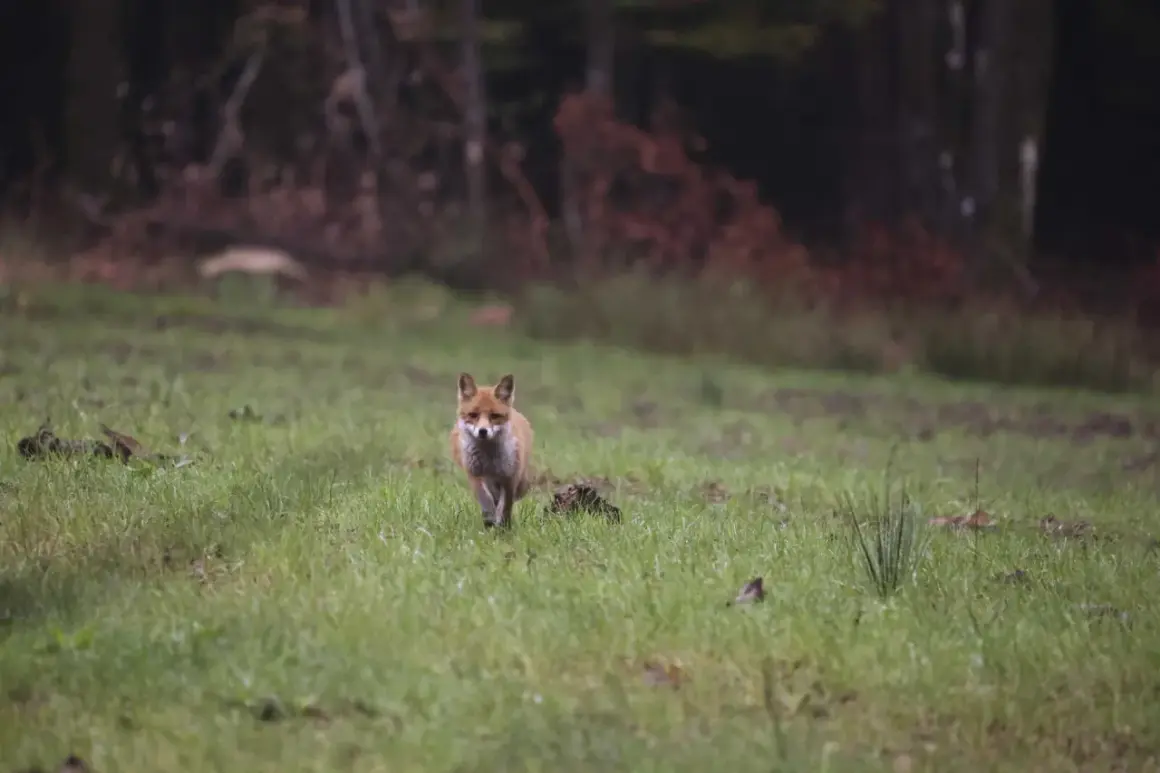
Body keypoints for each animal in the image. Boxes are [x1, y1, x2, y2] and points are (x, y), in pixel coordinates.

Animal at [450, 372, 534, 528]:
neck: (489, 460)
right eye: (473, 415)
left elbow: (505, 506)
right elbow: (486, 500)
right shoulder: (475, 475)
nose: (483, 431)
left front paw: (502, 525)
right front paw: (490, 519)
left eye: (494, 416)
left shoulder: (509, 477)